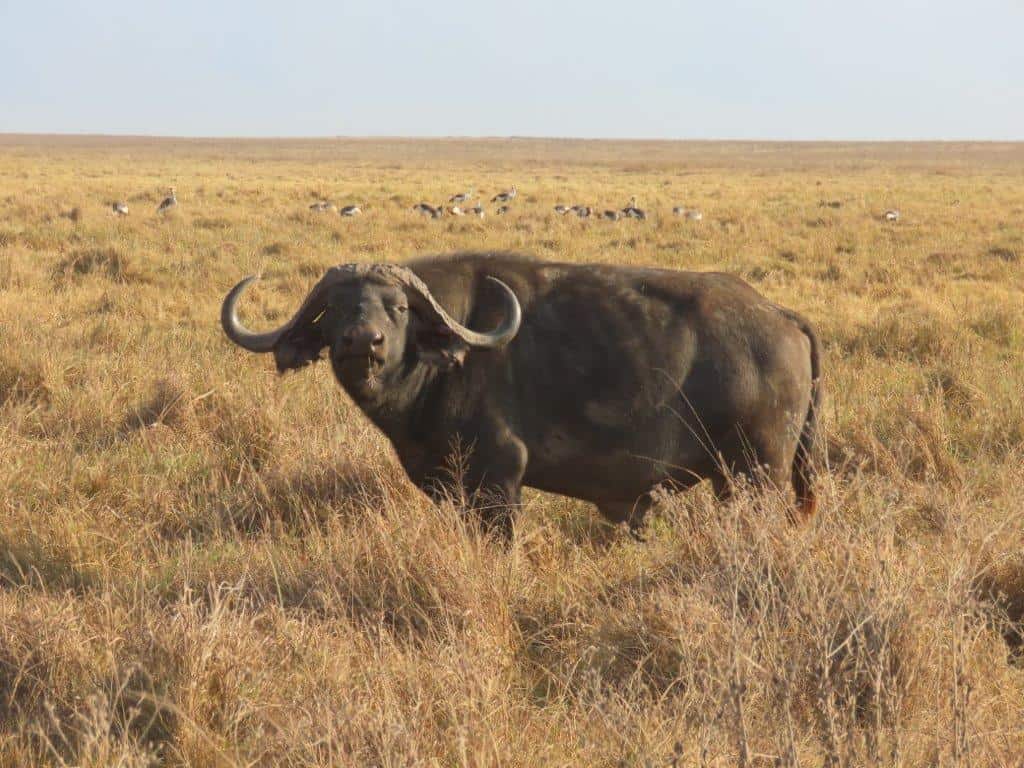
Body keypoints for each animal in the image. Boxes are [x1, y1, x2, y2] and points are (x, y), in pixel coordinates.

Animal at [221, 252, 821, 537]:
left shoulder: (499, 481)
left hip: (756, 476)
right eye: (336, 309)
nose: (361, 342)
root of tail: (778, 315)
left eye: (398, 307)